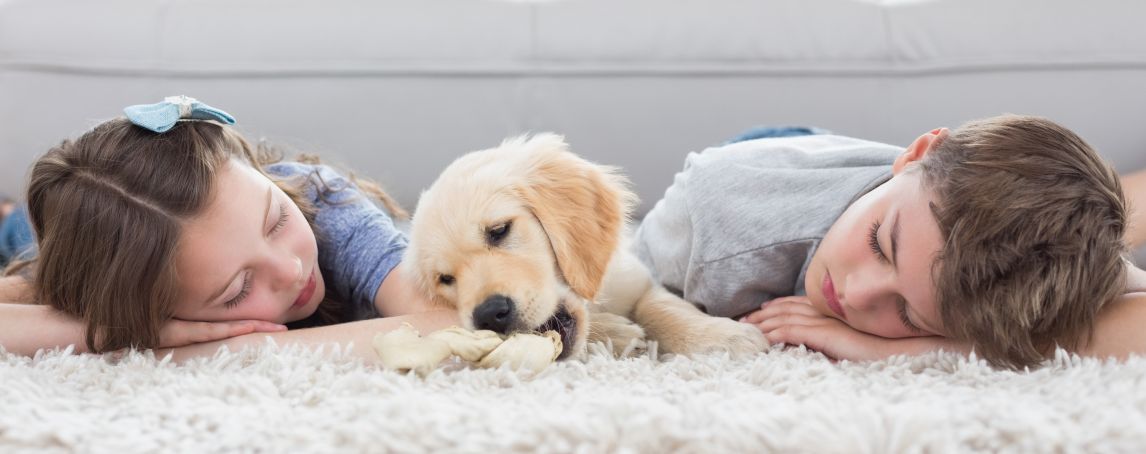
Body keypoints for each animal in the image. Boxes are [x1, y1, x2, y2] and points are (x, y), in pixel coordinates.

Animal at [405, 132, 770, 359]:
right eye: (445, 279)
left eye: (499, 230)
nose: (488, 315)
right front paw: (618, 334)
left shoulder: (636, 278)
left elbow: (664, 308)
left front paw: (722, 336)